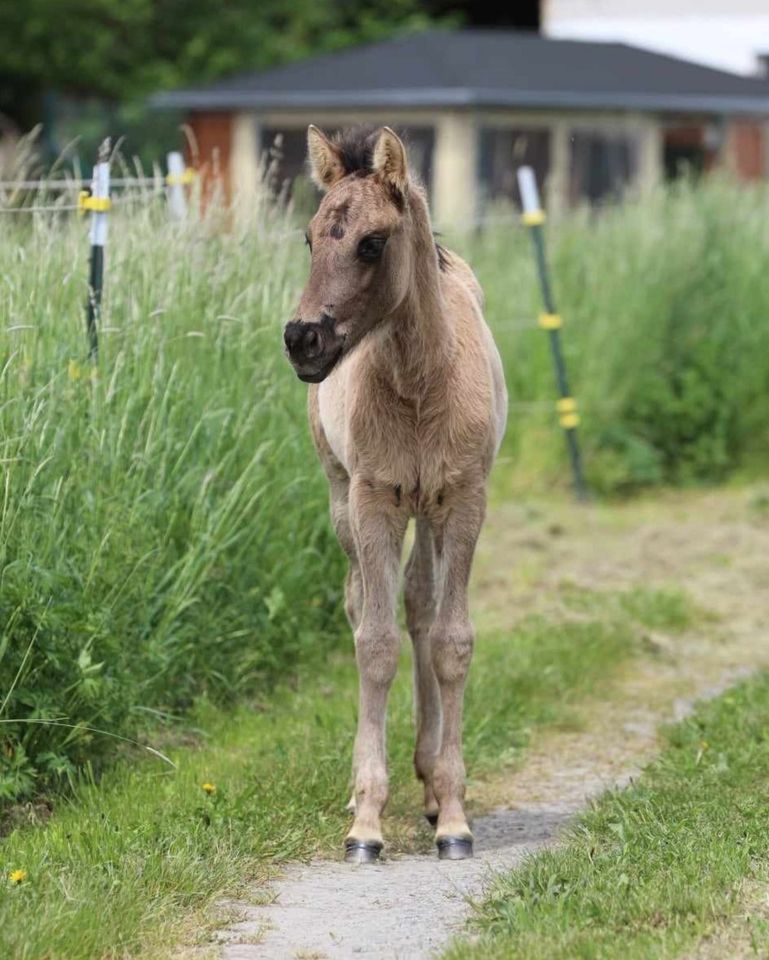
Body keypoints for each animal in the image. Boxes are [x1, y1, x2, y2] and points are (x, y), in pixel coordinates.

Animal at [284, 125, 508, 864]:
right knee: (366, 605)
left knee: (421, 607)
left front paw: (455, 817)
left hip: (430, 513)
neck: (417, 380)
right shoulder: (373, 501)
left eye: (371, 243)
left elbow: (450, 641)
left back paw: (432, 785)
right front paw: (366, 823)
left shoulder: (464, 502)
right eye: (310, 238)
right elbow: (375, 646)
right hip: (342, 499)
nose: (302, 339)